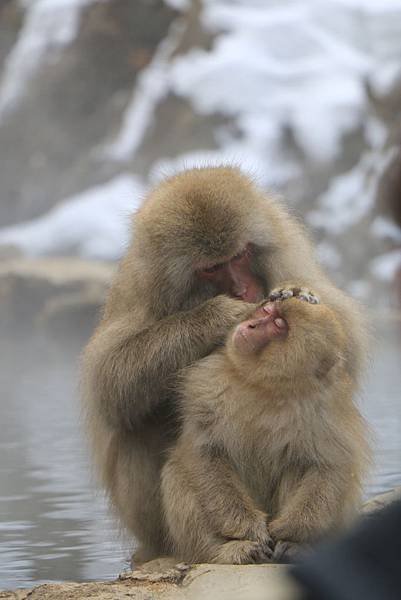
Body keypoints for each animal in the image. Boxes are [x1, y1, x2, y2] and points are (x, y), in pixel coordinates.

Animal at [162, 288, 368, 564]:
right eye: (267, 311)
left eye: (279, 325)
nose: (251, 325)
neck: (264, 384)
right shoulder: (206, 384)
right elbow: (205, 452)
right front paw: (250, 530)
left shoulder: (328, 404)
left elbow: (331, 464)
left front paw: (290, 531)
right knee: (177, 474)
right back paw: (226, 551)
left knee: (297, 464)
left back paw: (295, 547)